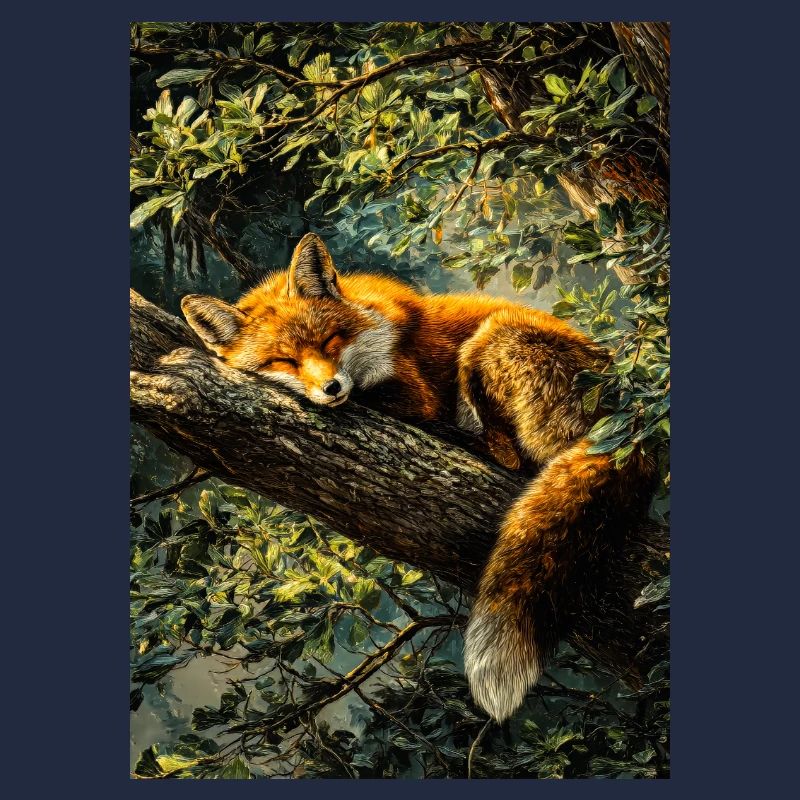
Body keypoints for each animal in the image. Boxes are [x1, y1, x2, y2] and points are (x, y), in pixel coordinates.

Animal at [181, 233, 654, 722]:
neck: (373, 331)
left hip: (492, 338)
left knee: (513, 459)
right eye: (283, 360)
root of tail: (632, 424)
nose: (331, 388)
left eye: (330, 340)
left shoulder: (415, 393)